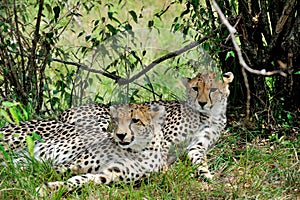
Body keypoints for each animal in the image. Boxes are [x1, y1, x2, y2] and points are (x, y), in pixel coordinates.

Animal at [0, 103, 166, 194]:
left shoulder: (106, 176)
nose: (120, 135)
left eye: (135, 120)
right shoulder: (72, 164)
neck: (135, 150)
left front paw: (47, 188)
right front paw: (21, 182)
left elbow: (78, 181)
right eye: (116, 120)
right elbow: (44, 171)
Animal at [58, 71, 233, 177]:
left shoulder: (197, 145)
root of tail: (65, 111)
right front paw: (164, 173)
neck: (207, 115)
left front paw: (206, 175)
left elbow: (200, 159)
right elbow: (161, 157)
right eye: (195, 88)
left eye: (213, 89)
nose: (202, 103)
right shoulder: (165, 138)